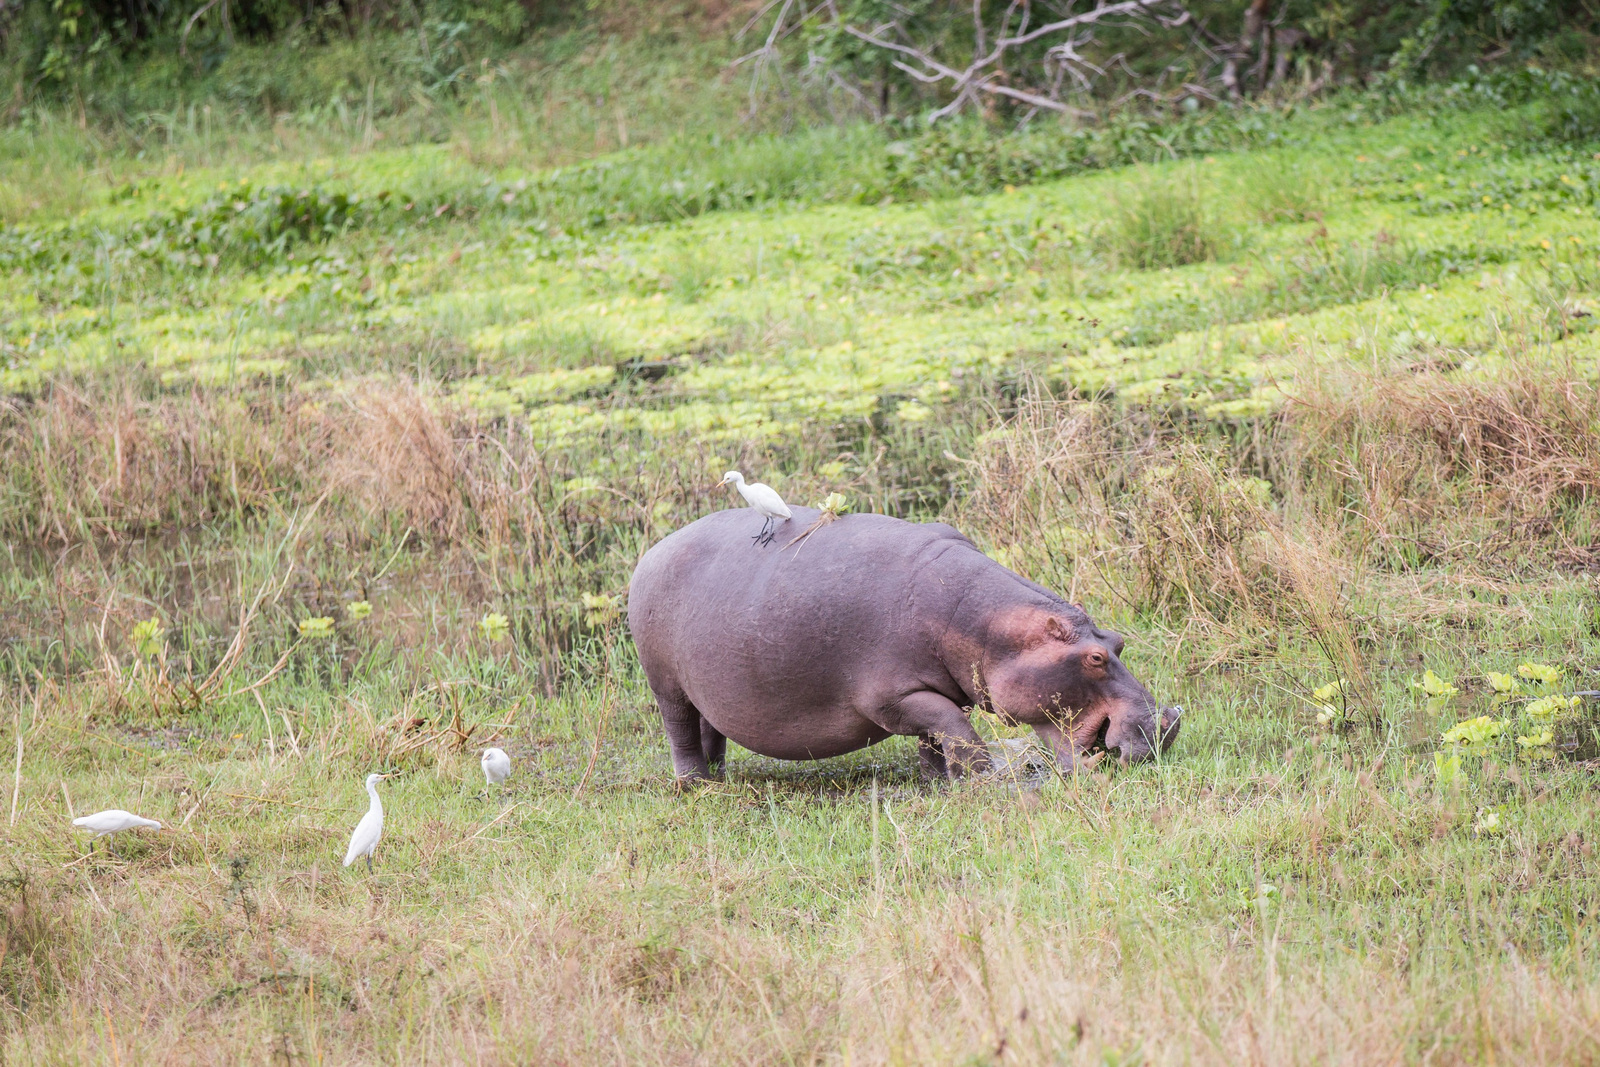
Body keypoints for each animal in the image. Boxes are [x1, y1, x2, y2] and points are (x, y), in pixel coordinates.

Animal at [627, 506, 1180, 782]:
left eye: (1118, 641)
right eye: (1095, 658)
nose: (1164, 727)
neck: (983, 624)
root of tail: (653, 550)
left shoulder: (933, 687)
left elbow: (936, 734)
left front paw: (938, 781)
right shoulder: (889, 698)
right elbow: (955, 727)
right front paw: (985, 779)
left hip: (704, 686)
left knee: (710, 728)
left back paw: (719, 775)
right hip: (665, 683)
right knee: (679, 728)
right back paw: (694, 783)